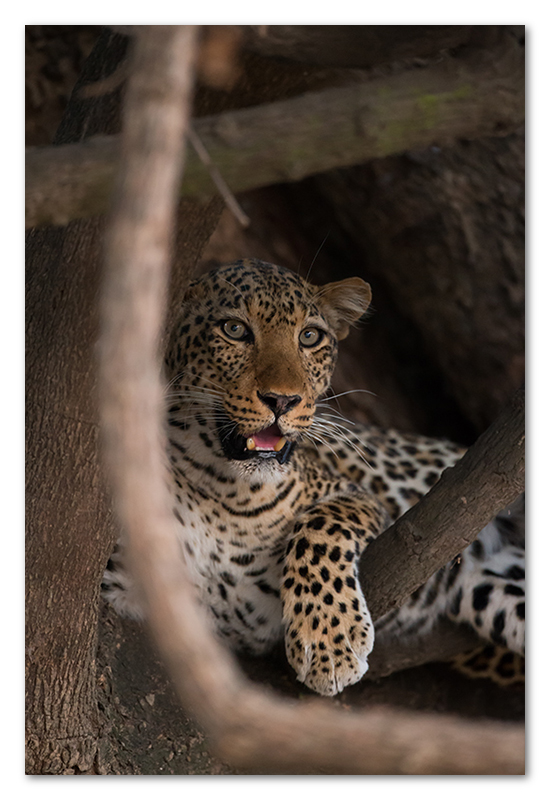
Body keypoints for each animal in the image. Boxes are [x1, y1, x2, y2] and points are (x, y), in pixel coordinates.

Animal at [102, 260, 528, 696]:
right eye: (234, 329)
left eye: (310, 337)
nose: (282, 400)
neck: (222, 492)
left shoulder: (360, 497)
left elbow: (320, 528)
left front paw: (330, 642)